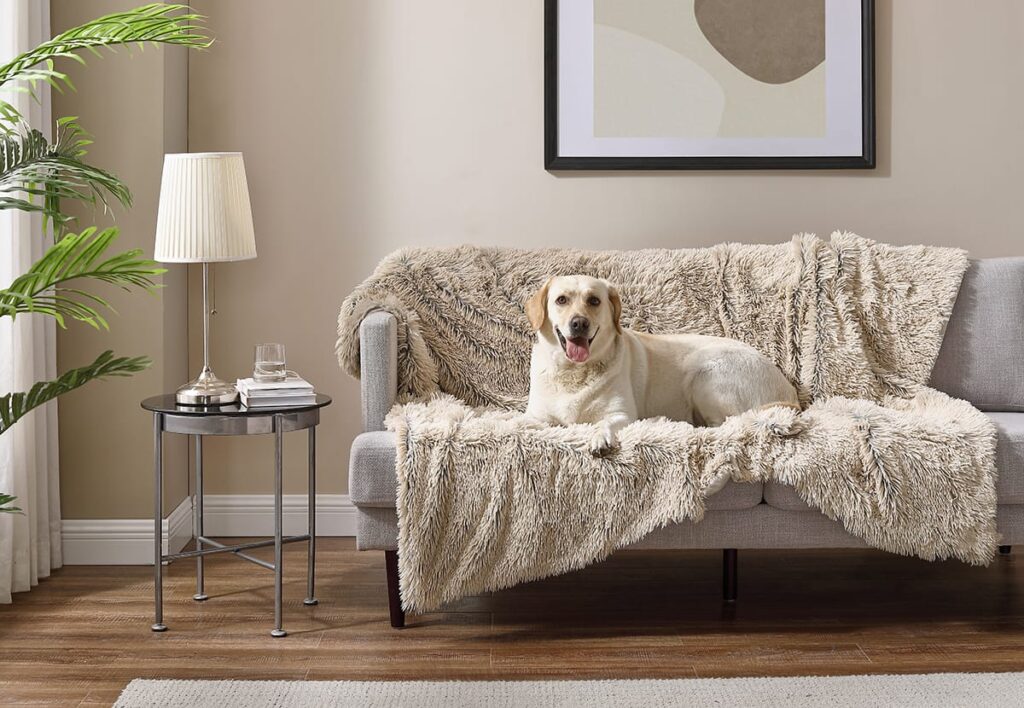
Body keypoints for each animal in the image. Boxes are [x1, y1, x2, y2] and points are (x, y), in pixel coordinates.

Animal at [528, 274, 798, 456]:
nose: (579, 323)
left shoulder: (621, 414)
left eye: (594, 301)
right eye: (561, 300)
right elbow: (529, 423)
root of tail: (788, 389)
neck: (574, 372)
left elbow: (604, 422)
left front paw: (599, 438)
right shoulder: (537, 416)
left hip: (704, 373)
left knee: (721, 427)